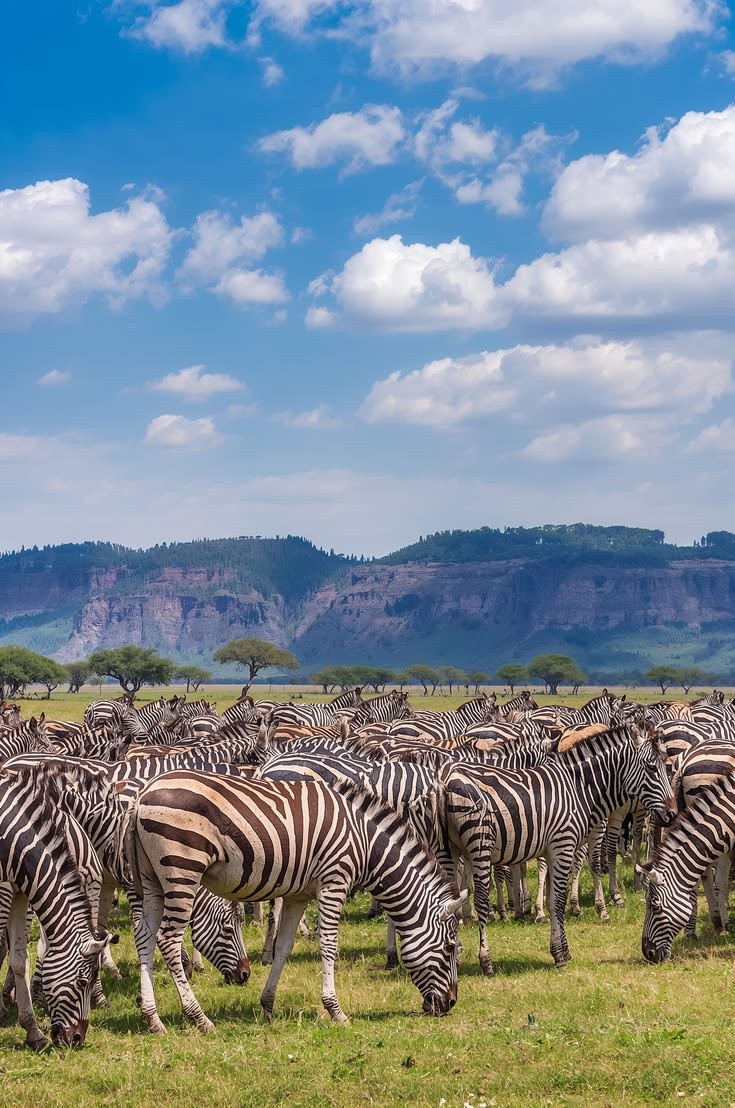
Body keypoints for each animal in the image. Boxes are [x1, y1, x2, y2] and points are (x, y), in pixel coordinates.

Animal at [127, 772, 465, 1033]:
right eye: (450, 948)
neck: (366, 845)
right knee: (168, 939)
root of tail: (143, 794)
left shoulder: (297, 894)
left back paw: (153, 1019)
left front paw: (267, 1006)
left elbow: (284, 947)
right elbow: (328, 946)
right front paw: (336, 1010)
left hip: (153, 879)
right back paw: (199, 1018)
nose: (450, 1004)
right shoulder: (333, 881)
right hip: (182, 867)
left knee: (145, 937)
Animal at [440, 722, 675, 974]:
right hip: (480, 846)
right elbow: (559, 900)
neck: (578, 788)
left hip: (450, 851)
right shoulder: (563, 844)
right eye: (651, 767)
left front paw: (562, 949)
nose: (672, 813)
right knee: (482, 901)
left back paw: (455, 955)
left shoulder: (553, 850)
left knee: (451, 901)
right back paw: (487, 962)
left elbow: (554, 900)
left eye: (666, 765)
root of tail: (447, 780)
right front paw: (560, 955)